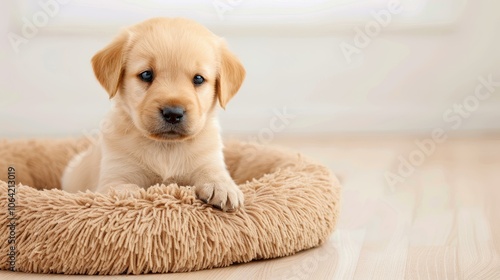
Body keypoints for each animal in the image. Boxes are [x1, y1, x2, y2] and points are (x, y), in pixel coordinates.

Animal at [61, 17, 245, 210]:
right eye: (146, 75)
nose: (173, 113)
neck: (165, 147)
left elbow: (213, 171)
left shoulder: (209, 159)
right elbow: (122, 188)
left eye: (198, 78)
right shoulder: (112, 176)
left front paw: (222, 186)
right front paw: (131, 194)